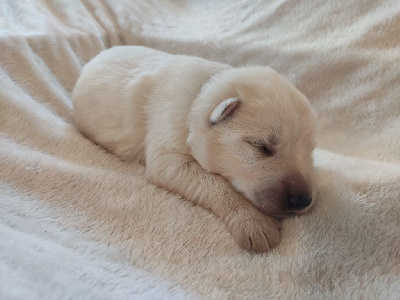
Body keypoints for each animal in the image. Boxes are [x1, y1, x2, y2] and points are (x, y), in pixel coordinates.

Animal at [71, 46, 316, 253]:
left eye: (309, 153)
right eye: (261, 146)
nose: (303, 200)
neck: (199, 98)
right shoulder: (167, 156)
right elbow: (215, 185)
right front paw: (255, 223)